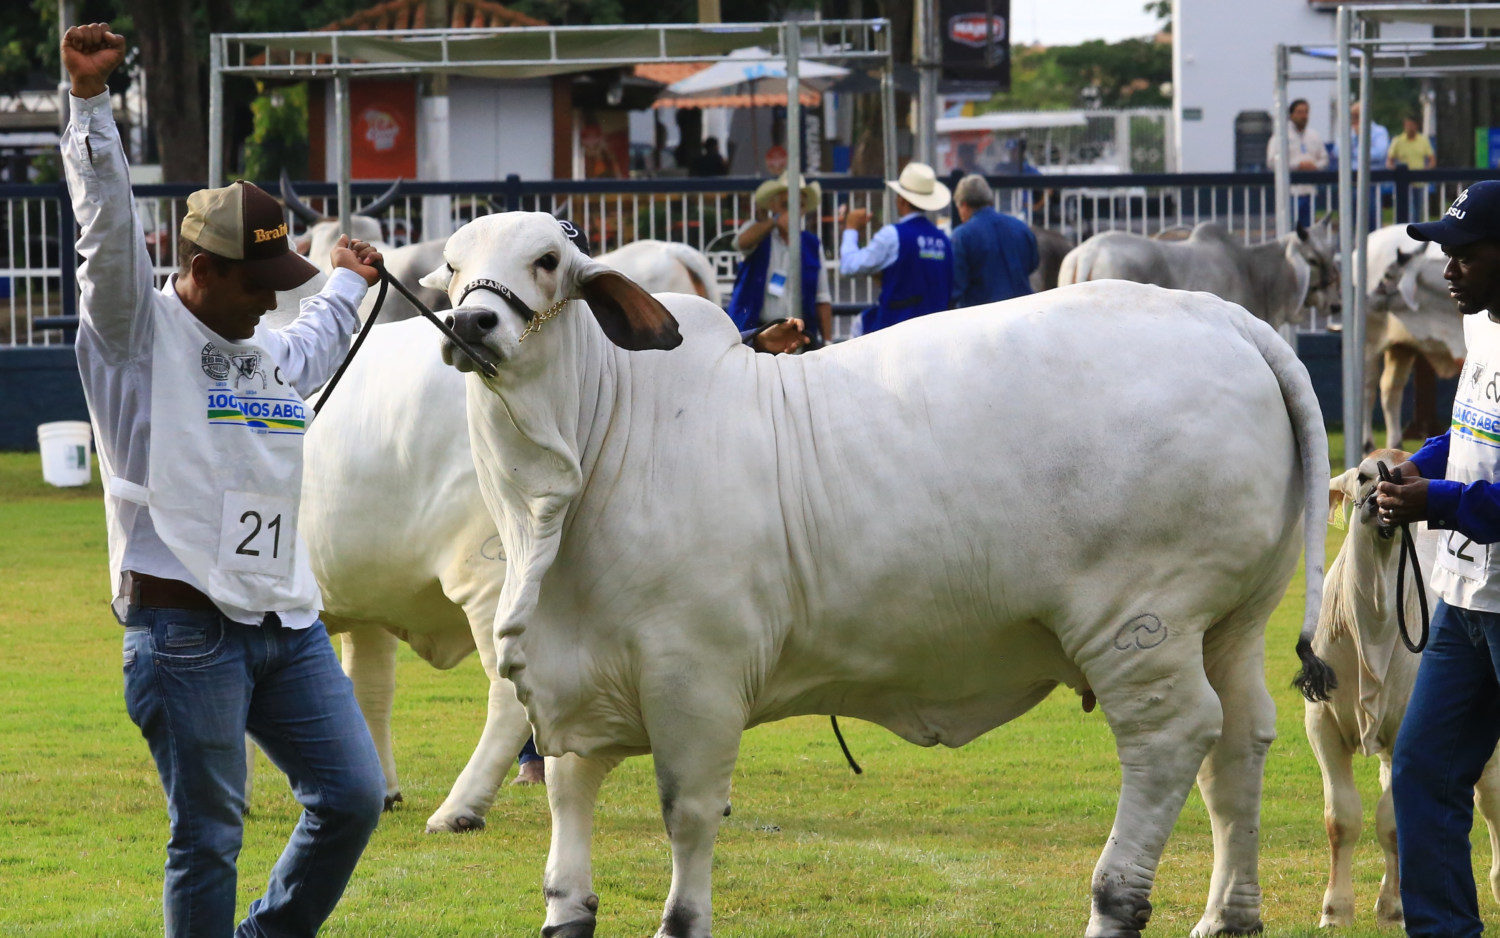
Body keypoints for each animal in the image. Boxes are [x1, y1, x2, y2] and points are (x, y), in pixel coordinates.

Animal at [1314, 450, 1500, 924]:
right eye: (1363, 476)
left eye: (1401, 476)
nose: (1379, 504)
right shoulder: (1321, 721)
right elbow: (1341, 818)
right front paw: (1336, 909)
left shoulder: (1406, 727)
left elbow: (1393, 822)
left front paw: (1394, 906)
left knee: (1491, 800)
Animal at [1362, 223, 1464, 450]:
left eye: (1388, 275)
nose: (1368, 298)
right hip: (1371, 344)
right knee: (1369, 389)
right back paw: (1369, 446)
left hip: (1401, 348)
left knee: (1390, 388)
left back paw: (1393, 445)